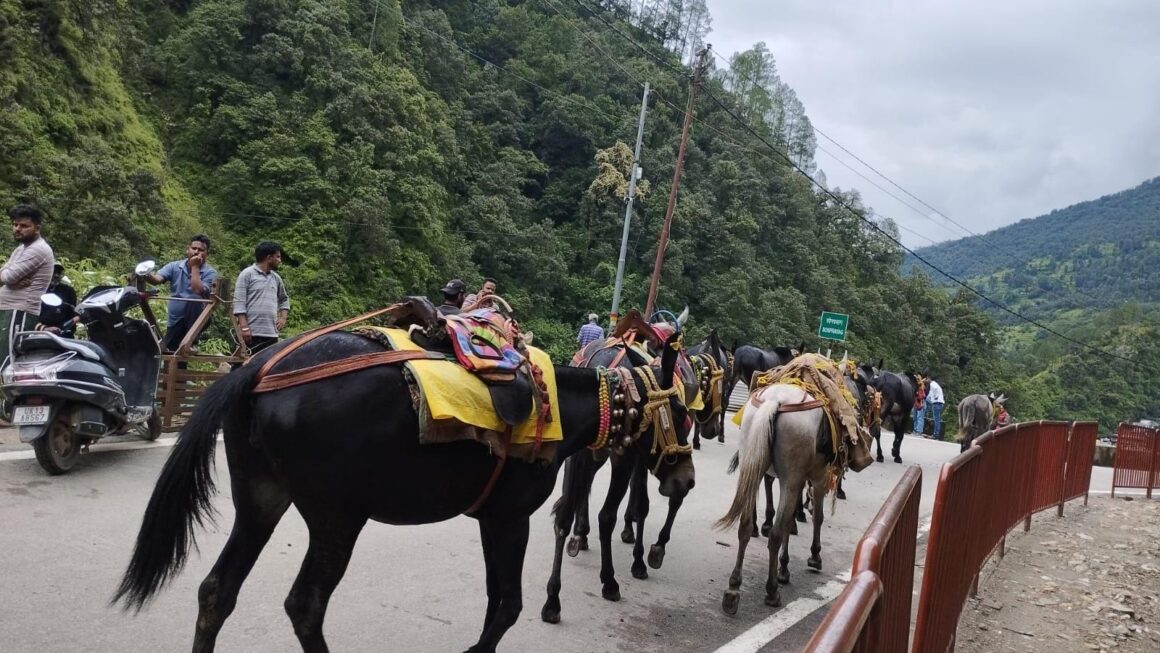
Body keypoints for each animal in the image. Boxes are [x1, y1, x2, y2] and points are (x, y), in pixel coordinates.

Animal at [110, 327, 686, 653]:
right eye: (681, 410)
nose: (683, 480)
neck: (556, 405)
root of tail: (256, 370)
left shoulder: (490, 518)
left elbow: (494, 600)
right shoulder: (510, 518)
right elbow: (508, 607)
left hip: (261, 500)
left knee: (217, 591)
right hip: (337, 517)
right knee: (305, 605)